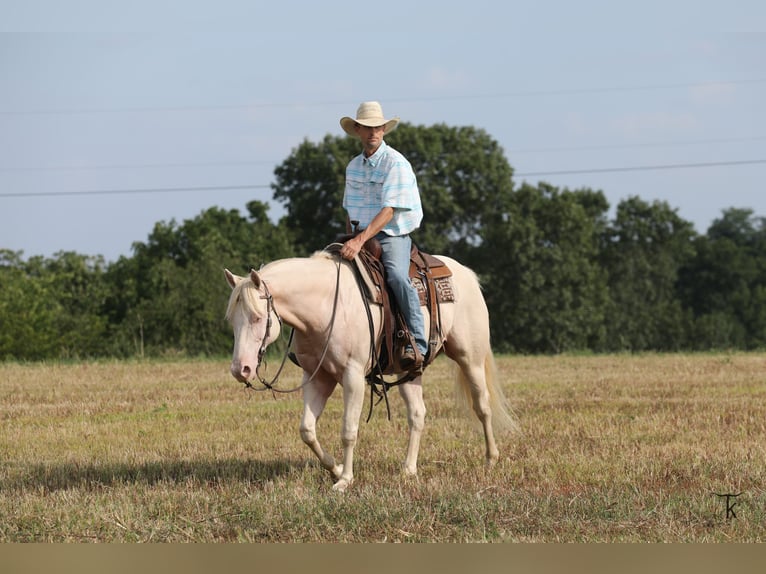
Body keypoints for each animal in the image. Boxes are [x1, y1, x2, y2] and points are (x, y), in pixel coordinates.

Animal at [224, 250, 516, 492]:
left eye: (257, 317)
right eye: (232, 321)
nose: (241, 369)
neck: (325, 306)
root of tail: (464, 273)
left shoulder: (352, 376)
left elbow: (348, 430)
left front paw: (344, 480)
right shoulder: (317, 377)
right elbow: (307, 430)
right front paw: (336, 469)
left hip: (471, 358)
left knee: (482, 405)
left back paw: (491, 458)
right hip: (409, 371)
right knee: (417, 414)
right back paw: (408, 470)